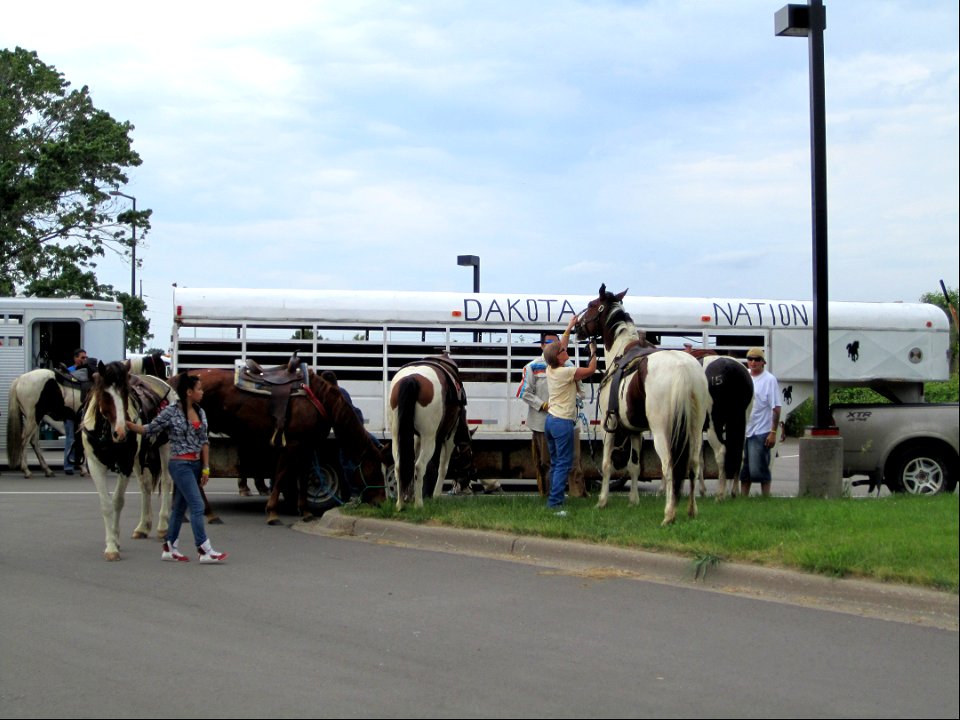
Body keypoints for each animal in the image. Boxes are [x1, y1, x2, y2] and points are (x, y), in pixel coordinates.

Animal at [81, 362, 174, 560]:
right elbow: (106, 504)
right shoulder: (95, 465)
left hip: (165, 448)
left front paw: (113, 544)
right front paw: (112, 543)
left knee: (166, 482)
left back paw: (162, 527)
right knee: (145, 485)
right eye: (105, 394)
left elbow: (117, 501)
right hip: (139, 459)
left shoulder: (125, 463)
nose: (121, 432)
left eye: (125, 393)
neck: (106, 433)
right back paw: (143, 527)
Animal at [180, 366, 390, 524]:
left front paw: (305, 512)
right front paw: (272, 513)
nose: (381, 501)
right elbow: (282, 475)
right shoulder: (293, 444)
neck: (319, 400)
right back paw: (208, 513)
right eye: (374, 469)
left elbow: (303, 476)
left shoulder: (307, 446)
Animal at [572, 284, 708, 524]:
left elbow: (607, 464)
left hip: (663, 431)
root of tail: (684, 370)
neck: (620, 353)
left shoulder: (610, 426)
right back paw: (692, 510)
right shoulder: (635, 430)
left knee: (669, 467)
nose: (577, 327)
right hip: (695, 430)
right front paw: (633, 501)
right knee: (693, 465)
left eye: (591, 305)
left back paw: (669, 514)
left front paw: (602, 501)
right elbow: (634, 465)